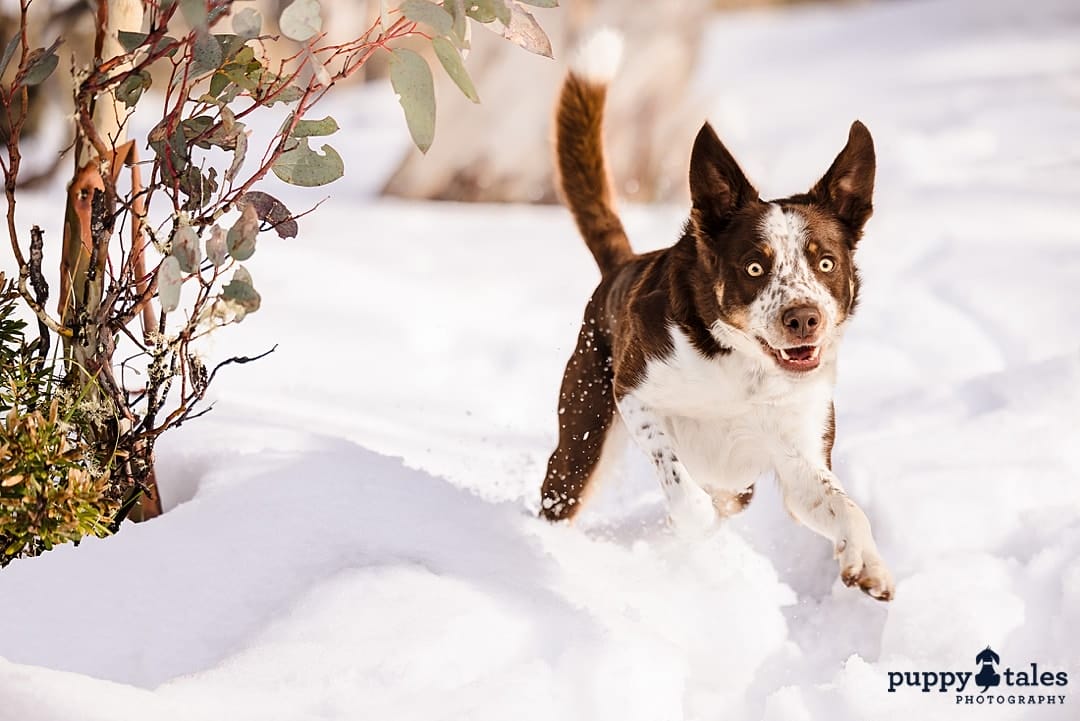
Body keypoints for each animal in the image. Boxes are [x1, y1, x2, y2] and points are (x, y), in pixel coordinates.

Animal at [540, 31, 894, 600]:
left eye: (825, 262)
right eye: (754, 266)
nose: (803, 318)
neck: (743, 367)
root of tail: (622, 264)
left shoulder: (800, 456)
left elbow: (847, 508)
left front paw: (868, 563)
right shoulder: (634, 393)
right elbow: (682, 488)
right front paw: (691, 528)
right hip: (582, 435)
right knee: (567, 491)